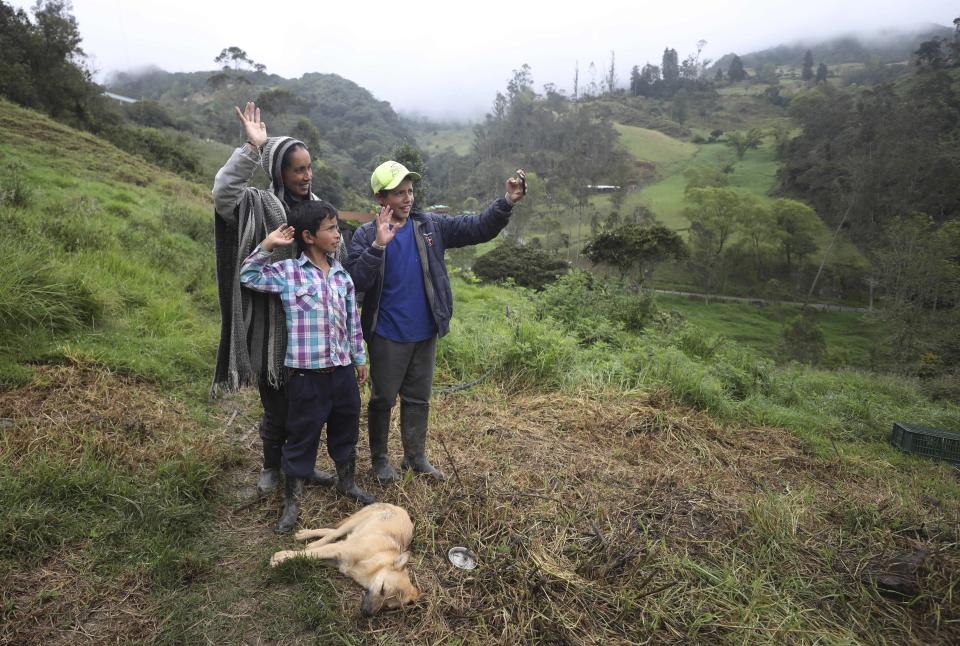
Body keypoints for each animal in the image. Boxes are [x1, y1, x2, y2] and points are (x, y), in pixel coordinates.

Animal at [270, 504, 420, 616]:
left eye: (388, 606)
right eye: (382, 589)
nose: (367, 613)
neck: (372, 559)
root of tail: (399, 508)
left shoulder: (335, 560)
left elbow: (308, 558)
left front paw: (284, 558)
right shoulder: (337, 549)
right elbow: (305, 554)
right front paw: (281, 557)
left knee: (332, 533)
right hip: (353, 523)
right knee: (333, 534)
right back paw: (310, 538)